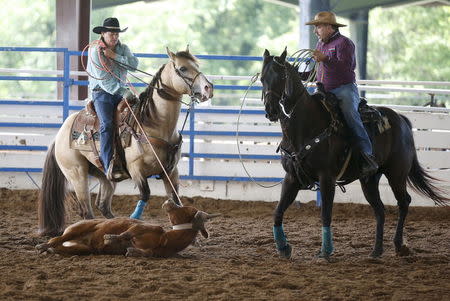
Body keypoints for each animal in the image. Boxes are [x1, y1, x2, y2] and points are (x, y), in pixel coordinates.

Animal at [35, 198, 220, 256]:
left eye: (186, 209)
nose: (169, 201)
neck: (165, 239)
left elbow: (136, 250)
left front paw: (129, 249)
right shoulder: (143, 228)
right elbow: (127, 233)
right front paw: (110, 238)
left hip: (81, 248)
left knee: (61, 246)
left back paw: (49, 249)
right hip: (78, 229)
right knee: (57, 238)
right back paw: (42, 245)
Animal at [37, 47, 214, 236]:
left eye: (197, 65)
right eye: (182, 68)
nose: (208, 88)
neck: (154, 124)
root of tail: (59, 135)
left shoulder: (171, 171)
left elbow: (175, 199)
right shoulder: (136, 169)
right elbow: (145, 194)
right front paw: (135, 218)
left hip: (104, 175)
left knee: (103, 205)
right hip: (76, 173)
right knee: (86, 209)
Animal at [258, 49, 448, 258]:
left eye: (282, 77)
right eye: (262, 78)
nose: (271, 110)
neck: (305, 126)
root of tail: (401, 119)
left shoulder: (327, 177)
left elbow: (326, 214)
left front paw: (326, 250)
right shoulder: (292, 178)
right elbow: (278, 211)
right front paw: (283, 247)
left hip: (396, 173)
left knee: (404, 202)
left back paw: (399, 245)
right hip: (369, 180)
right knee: (380, 210)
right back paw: (376, 250)